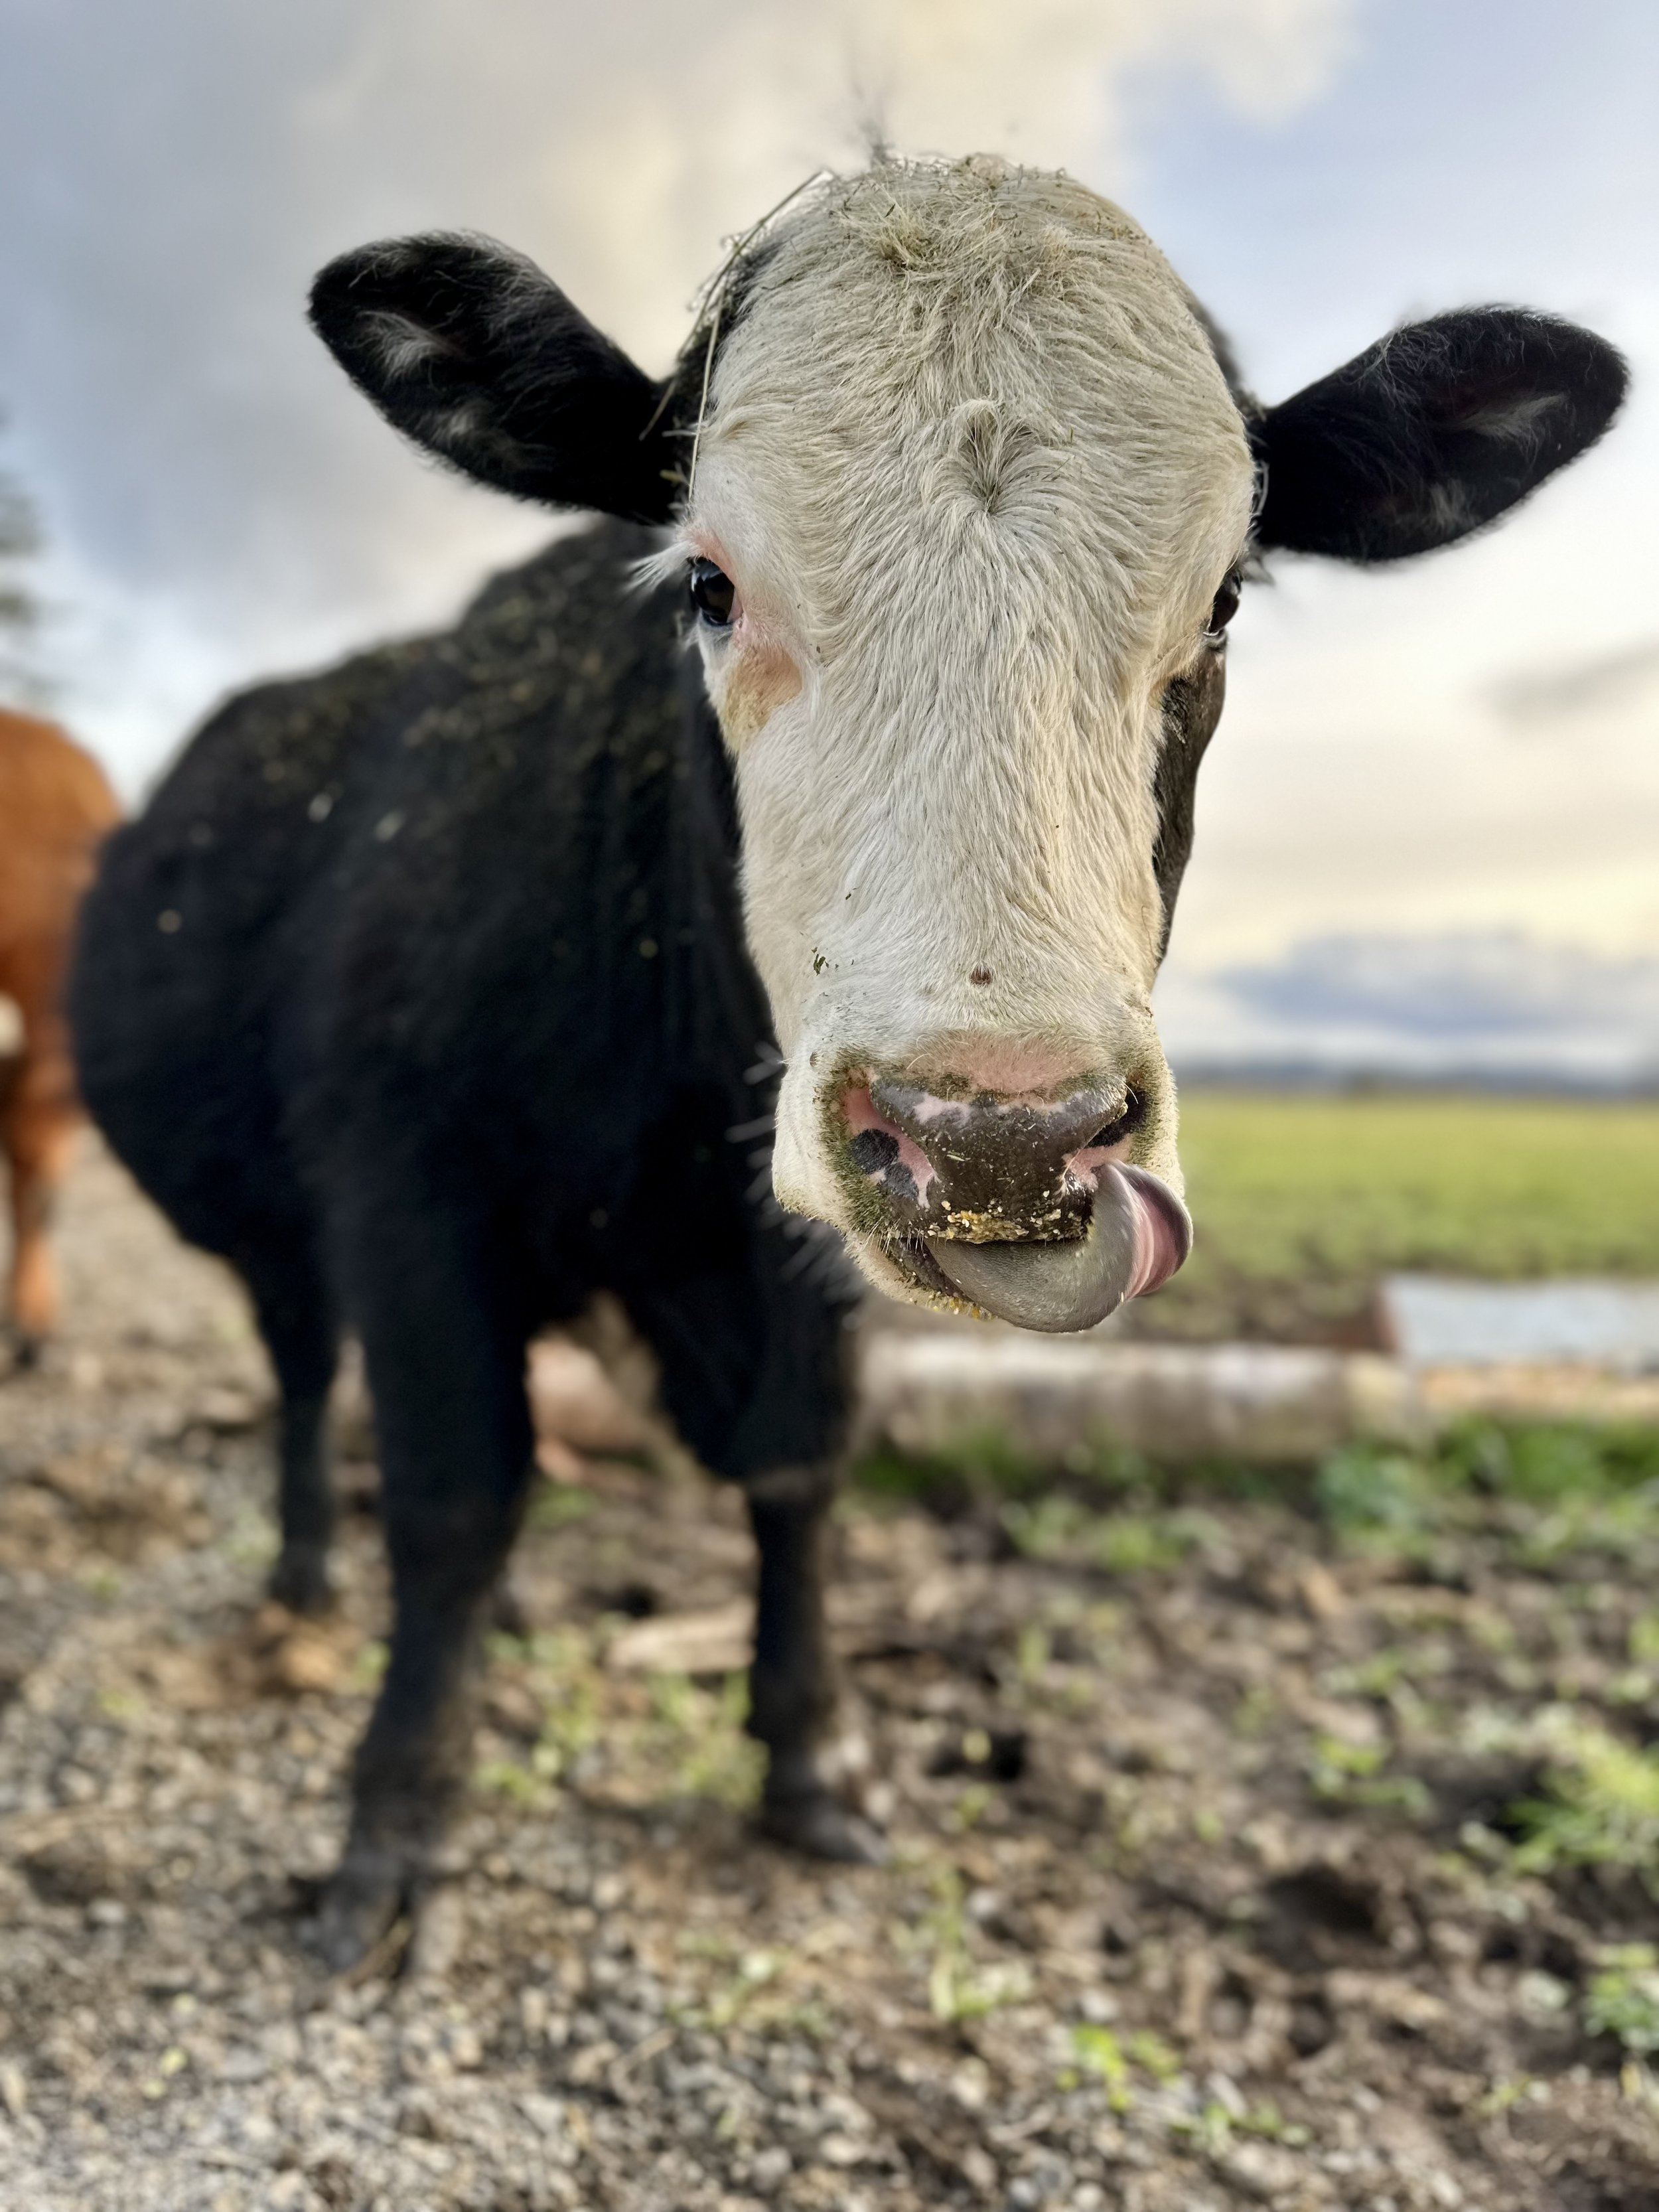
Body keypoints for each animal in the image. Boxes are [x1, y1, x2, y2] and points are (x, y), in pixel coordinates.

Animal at [69, 155, 1625, 1964]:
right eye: (706, 581)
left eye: (1224, 599)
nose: (1000, 1134)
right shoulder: (407, 1191)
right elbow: (456, 1499)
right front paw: (394, 1820)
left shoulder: (802, 1259)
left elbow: (800, 1470)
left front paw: (806, 1754)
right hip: (276, 1226)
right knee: (312, 1374)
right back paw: (307, 1576)